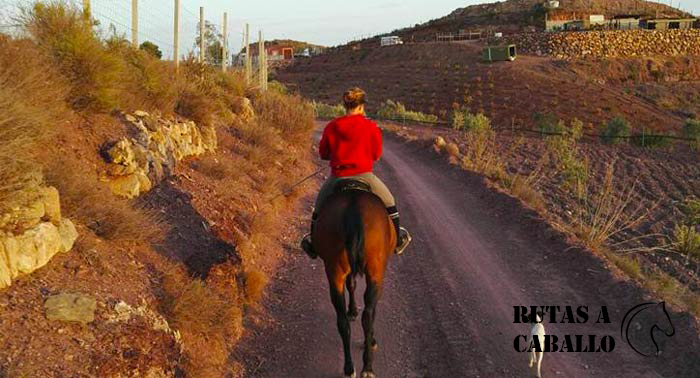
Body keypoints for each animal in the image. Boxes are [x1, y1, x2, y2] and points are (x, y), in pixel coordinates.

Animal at [314, 180, 396, 378]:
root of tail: (354, 210)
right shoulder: (377, 275)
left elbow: (351, 285)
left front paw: (352, 311)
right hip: (375, 270)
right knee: (368, 315)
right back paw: (367, 366)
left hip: (334, 269)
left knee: (342, 321)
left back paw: (349, 368)